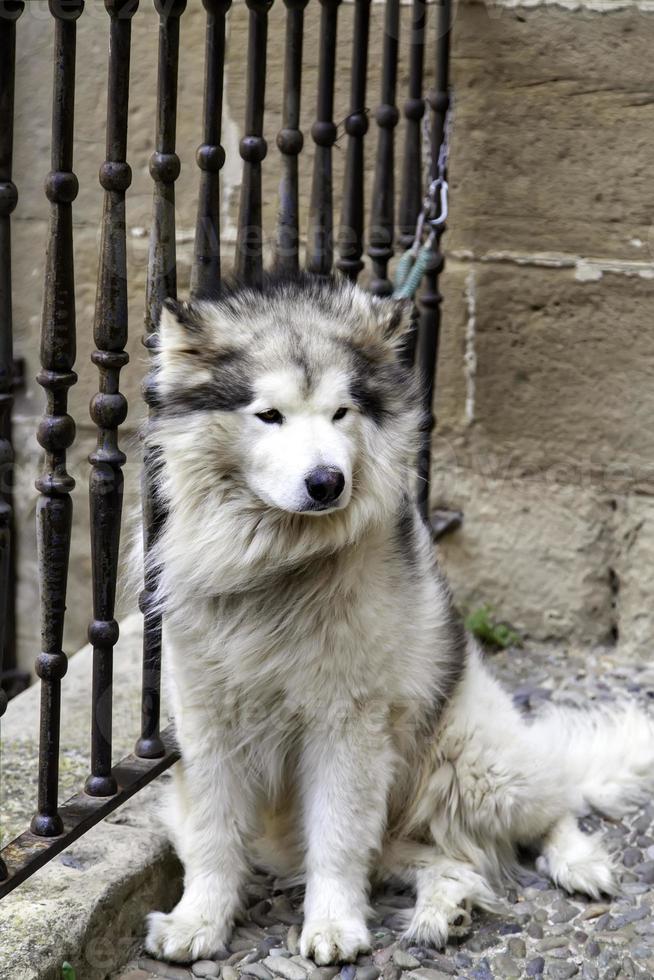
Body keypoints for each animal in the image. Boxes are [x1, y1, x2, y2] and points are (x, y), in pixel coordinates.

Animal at [146, 274, 654, 964]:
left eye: (342, 413)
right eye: (269, 414)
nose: (327, 482)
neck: (282, 566)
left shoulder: (347, 725)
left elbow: (337, 841)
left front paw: (333, 925)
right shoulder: (207, 725)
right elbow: (212, 837)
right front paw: (198, 921)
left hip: (476, 768)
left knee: (549, 808)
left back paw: (579, 864)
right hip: (313, 833)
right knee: (445, 858)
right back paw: (447, 908)